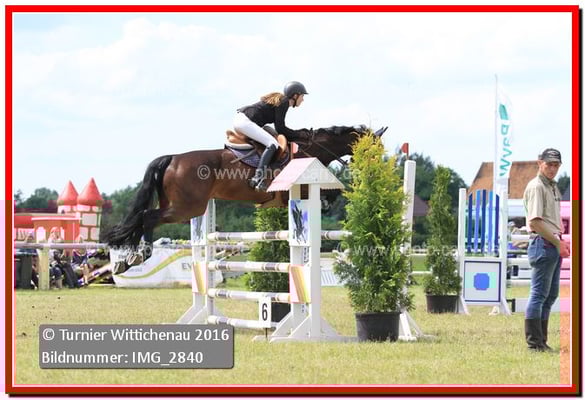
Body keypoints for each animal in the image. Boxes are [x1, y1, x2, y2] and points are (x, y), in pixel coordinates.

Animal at [104, 124, 387, 252]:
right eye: (374, 149)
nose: (375, 170)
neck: (312, 149)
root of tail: (173, 158)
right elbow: (334, 192)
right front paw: (328, 203)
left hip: (183, 206)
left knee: (143, 217)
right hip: (186, 207)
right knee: (147, 216)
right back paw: (141, 253)